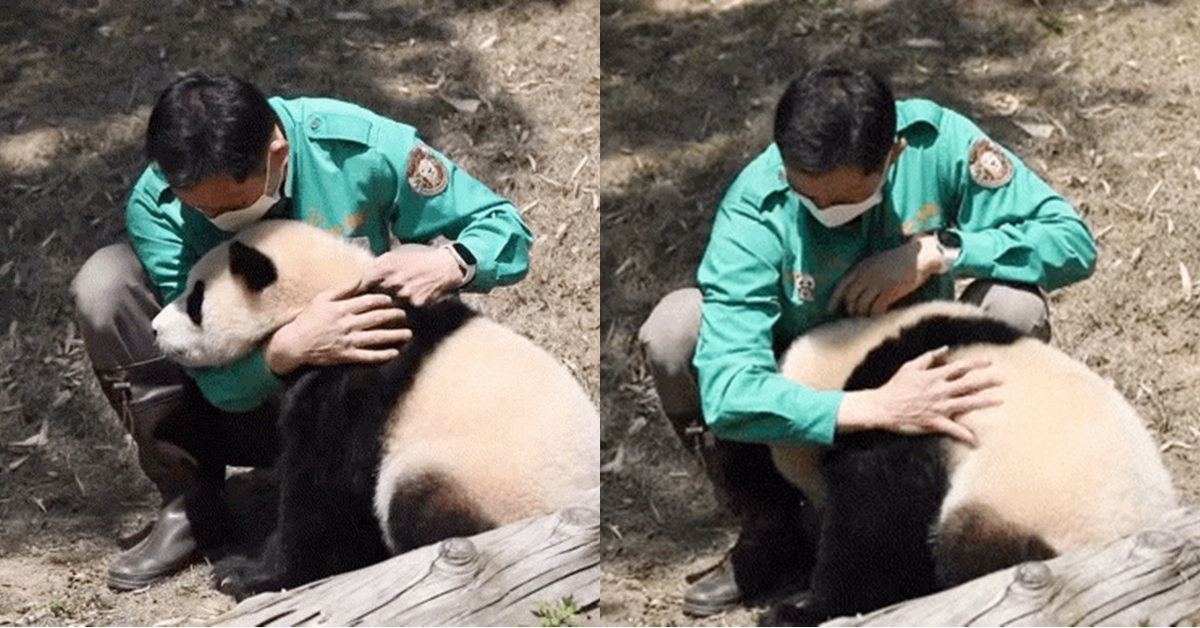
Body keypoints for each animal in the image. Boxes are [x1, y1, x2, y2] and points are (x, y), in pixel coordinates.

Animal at [150, 219, 600, 600]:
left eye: (195, 300)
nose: (155, 328)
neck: (327, 294)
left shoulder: (354, 378)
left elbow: (322, 493)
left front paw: (245, 574)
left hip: (482, 481)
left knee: (417, 504)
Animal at [763, 302, 1176, 624]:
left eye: (806, 491)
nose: (811, 521)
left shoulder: (907, 418)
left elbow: (877, 523)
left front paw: (800, 611)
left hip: (1028, 508)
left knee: (965, 550)